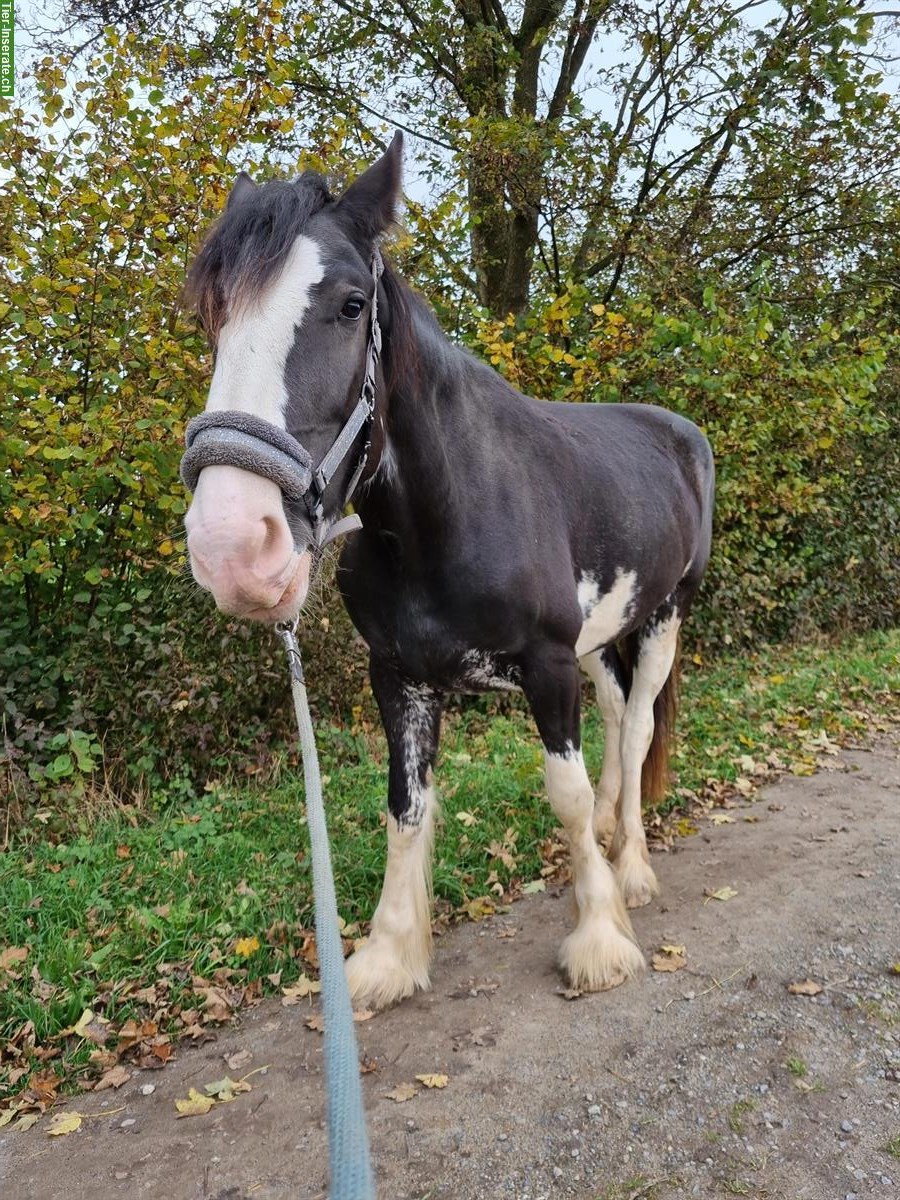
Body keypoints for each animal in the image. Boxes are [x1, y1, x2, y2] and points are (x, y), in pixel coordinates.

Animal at [181, 131, 720, 1012]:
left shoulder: (546, 665)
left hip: (667, 611)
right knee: (616, 714)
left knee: (639, 725)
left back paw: (633, 868)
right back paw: (617, 837)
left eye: (351, 304)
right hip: (604, 632)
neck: (449, 516)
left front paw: (600, 937)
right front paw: (388, 956)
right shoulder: (399, 676)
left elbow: (564, 793)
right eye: (212, 314)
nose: (231, 544)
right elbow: (406, 806)